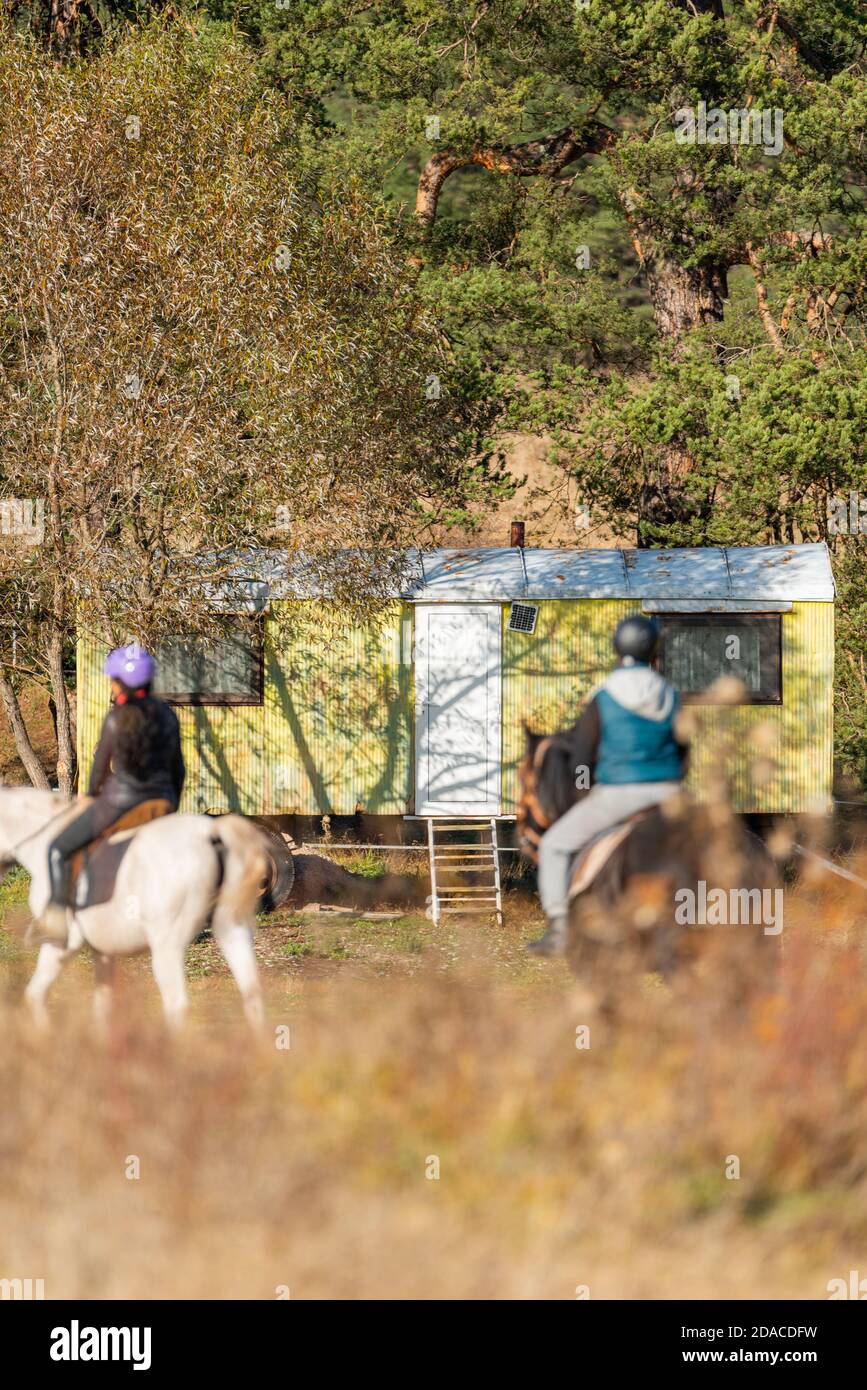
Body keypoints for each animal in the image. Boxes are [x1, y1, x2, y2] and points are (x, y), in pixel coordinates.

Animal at [0, 789, 269, 1028]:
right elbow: (104, 1007)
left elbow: (35, 995)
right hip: (231, 930)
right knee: (252, 995)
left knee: (177, 1005)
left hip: (167, 946)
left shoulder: (61, 943)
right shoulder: (103, 950)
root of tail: (211, 833)